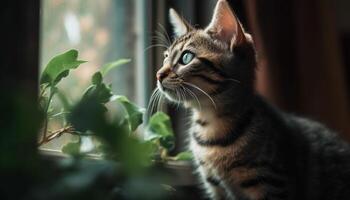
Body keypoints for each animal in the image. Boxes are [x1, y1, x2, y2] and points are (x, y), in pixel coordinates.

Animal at [154, 0, 350, 200]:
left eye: (186, 57)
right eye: (165, 57)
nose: (158, 75)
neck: (210, 124)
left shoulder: (270, 185)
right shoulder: (216, 188)